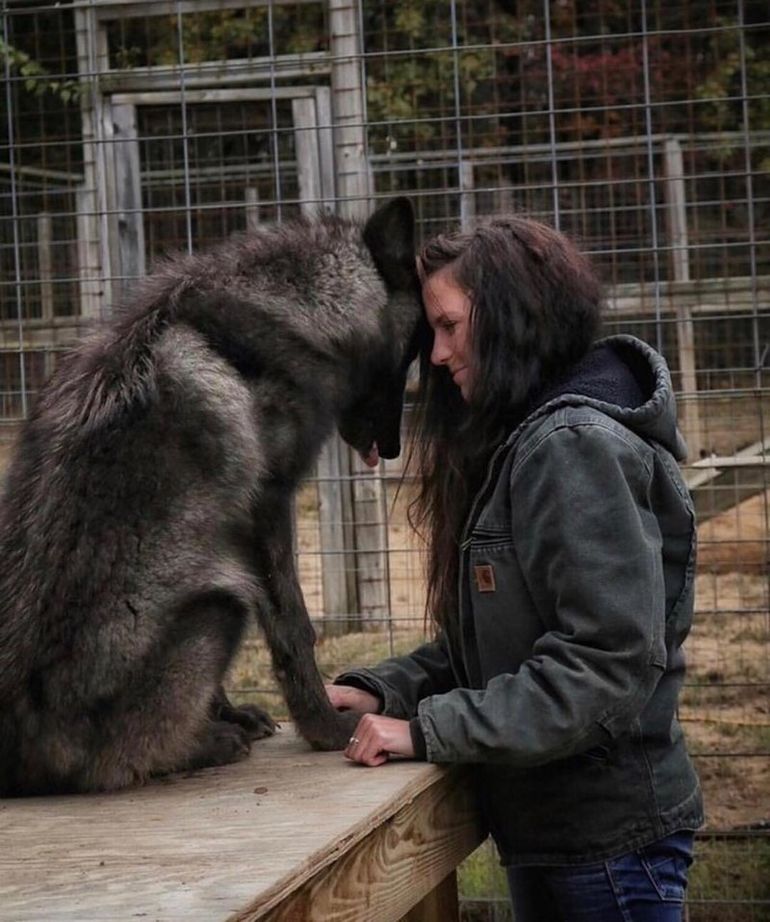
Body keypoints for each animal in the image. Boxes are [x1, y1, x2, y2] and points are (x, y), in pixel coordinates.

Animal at [0, 194, 420, 792]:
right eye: (413, 350)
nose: (392, 449)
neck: (298, 310)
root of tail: (17, 754)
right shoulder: (265, 511)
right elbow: (295, 628)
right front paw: (326, 731)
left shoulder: (231, 533)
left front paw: (230, 712)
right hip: (220, 605)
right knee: (118, 765)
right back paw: (202, 746)